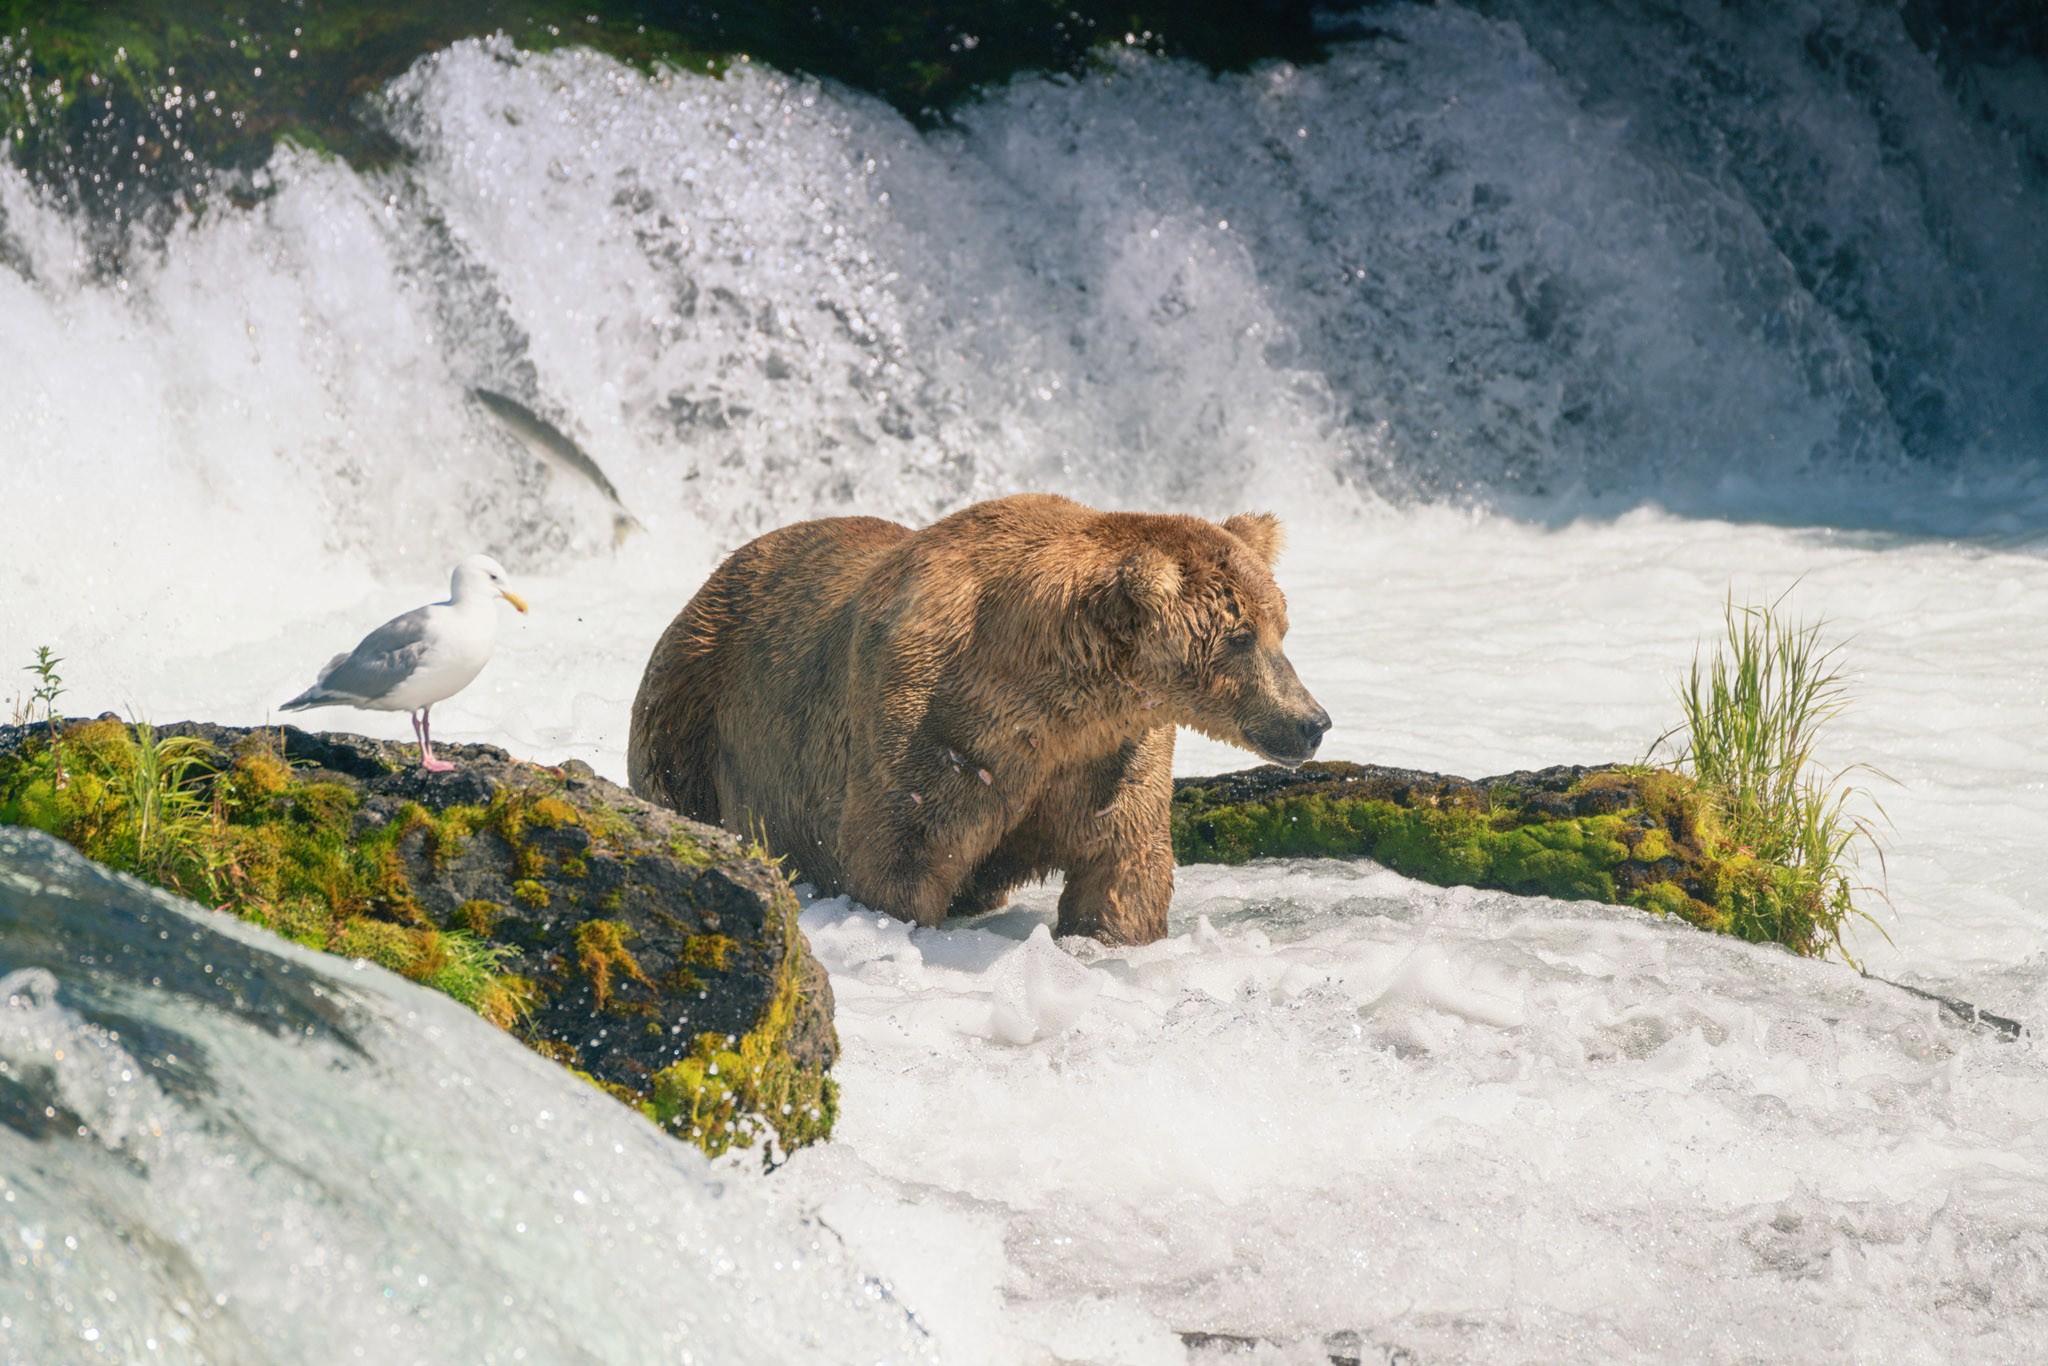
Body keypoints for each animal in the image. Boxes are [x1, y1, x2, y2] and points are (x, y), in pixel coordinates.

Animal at [622, 493, 1327, 950]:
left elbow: (1122, 865)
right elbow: (899, 857)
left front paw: (1110, 935)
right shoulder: (935, 730)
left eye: (1281, 627)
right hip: (695, 696)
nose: (1312, 721)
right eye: (1240, 636)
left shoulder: (1111, 754)